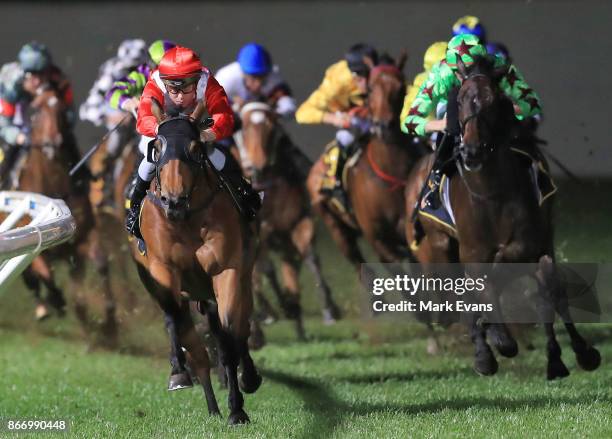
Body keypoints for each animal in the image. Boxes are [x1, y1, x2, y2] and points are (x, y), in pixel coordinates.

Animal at [11, 87, 117, 342]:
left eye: (61, 110)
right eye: (36, 110)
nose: (52, 143)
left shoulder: (82, 237)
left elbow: (100, 263)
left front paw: (109, 325)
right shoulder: (33, 241)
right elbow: (43, 272)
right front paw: (56, 300)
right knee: (34, 278)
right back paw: (46, 306)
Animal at [136, 100, 260, 426]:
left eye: (195, 148)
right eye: (157, 148)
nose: (174, 201)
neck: (187, 218)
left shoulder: (226, 270)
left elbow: (229, 338)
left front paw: (237, 409)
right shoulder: (163, 272)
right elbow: (184, 331)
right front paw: (181, 374)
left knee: (239, 329)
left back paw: (246, 378)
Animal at [239, 100, 342, 340]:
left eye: (271, 127)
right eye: (245, 128)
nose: (257, 168)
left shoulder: (299, 223)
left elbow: (311, 259)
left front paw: (330, 309)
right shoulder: (262, 233)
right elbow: (267, 270)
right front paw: (283, 307)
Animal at [404, 55, 600, 378]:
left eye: (494, 100)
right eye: (459, 99)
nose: (471, 151)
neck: (492, 192)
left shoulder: (539, 243)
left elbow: (550, 291)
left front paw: (572, 355)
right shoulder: (473, 252)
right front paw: (496, 342)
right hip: (438, 246)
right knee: (457, 290)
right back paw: (485, 349)